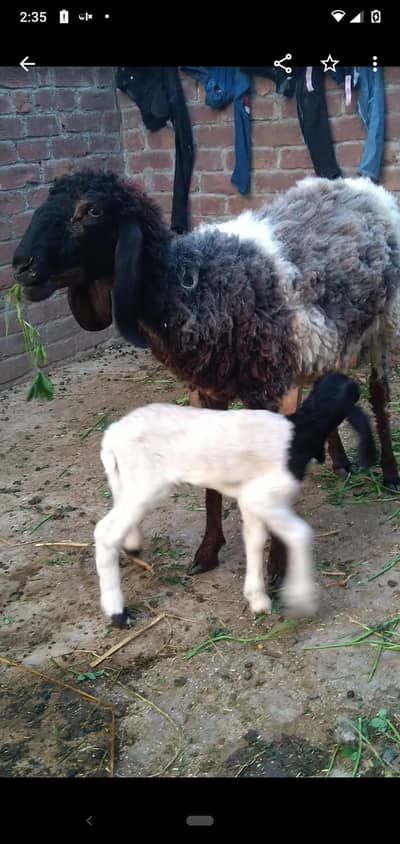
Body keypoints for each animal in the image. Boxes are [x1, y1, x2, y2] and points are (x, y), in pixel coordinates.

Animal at [13, 169, 400, 586]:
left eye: (92, 211)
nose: (21, 266)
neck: (195, 286)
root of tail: (356, 184)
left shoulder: (272, 388)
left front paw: (277, 568)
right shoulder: (207, 391)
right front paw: (208, 551)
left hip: (383, 325)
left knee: (378, 392)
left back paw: (390, 473)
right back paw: (341, 462)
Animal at [94, 373, 377, 627]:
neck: (300, 432)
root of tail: (111, 435)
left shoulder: (250, 501)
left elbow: (255, 540)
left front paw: (257, 598)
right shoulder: (262, 495)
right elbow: (300, 533)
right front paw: (302, 598)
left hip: (127, 482)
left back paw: (131, 546)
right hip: (147, 485)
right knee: (105, 532)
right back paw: (118, 613)